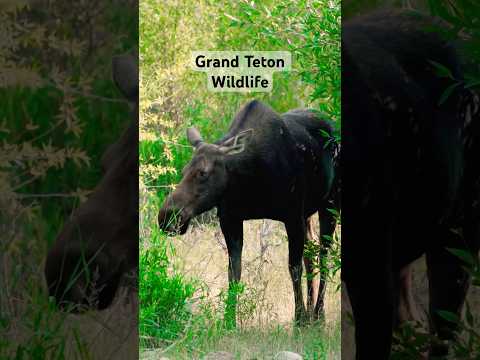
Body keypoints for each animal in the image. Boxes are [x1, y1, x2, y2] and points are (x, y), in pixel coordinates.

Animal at [158, 100, 338, 324]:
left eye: (203, 173)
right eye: (183, 171)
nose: (166, 217)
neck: (250, 179)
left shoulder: (292, 216)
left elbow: (294, 268)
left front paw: (298, 319)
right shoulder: (230, 219)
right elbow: (234, 272)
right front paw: (229, 321)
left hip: (330, 204)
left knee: (323, 255)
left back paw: (318, 314)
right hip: (309, 213)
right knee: (311, 252)